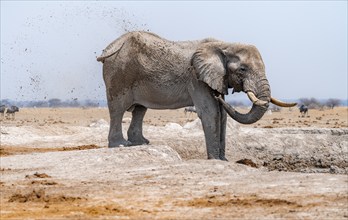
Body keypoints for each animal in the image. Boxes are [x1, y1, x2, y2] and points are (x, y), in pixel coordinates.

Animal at [98, 31, 296, 160]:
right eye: (242, 69)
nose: (220, 97)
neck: (225, 45)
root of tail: (110, 47)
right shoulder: (196, 77)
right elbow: (211, 112)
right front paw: (214, 160)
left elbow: (222, 115)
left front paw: (223, 160)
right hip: (119, 73)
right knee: (118, 109)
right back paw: (121, 145)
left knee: (140, 109)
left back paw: (142, 143)